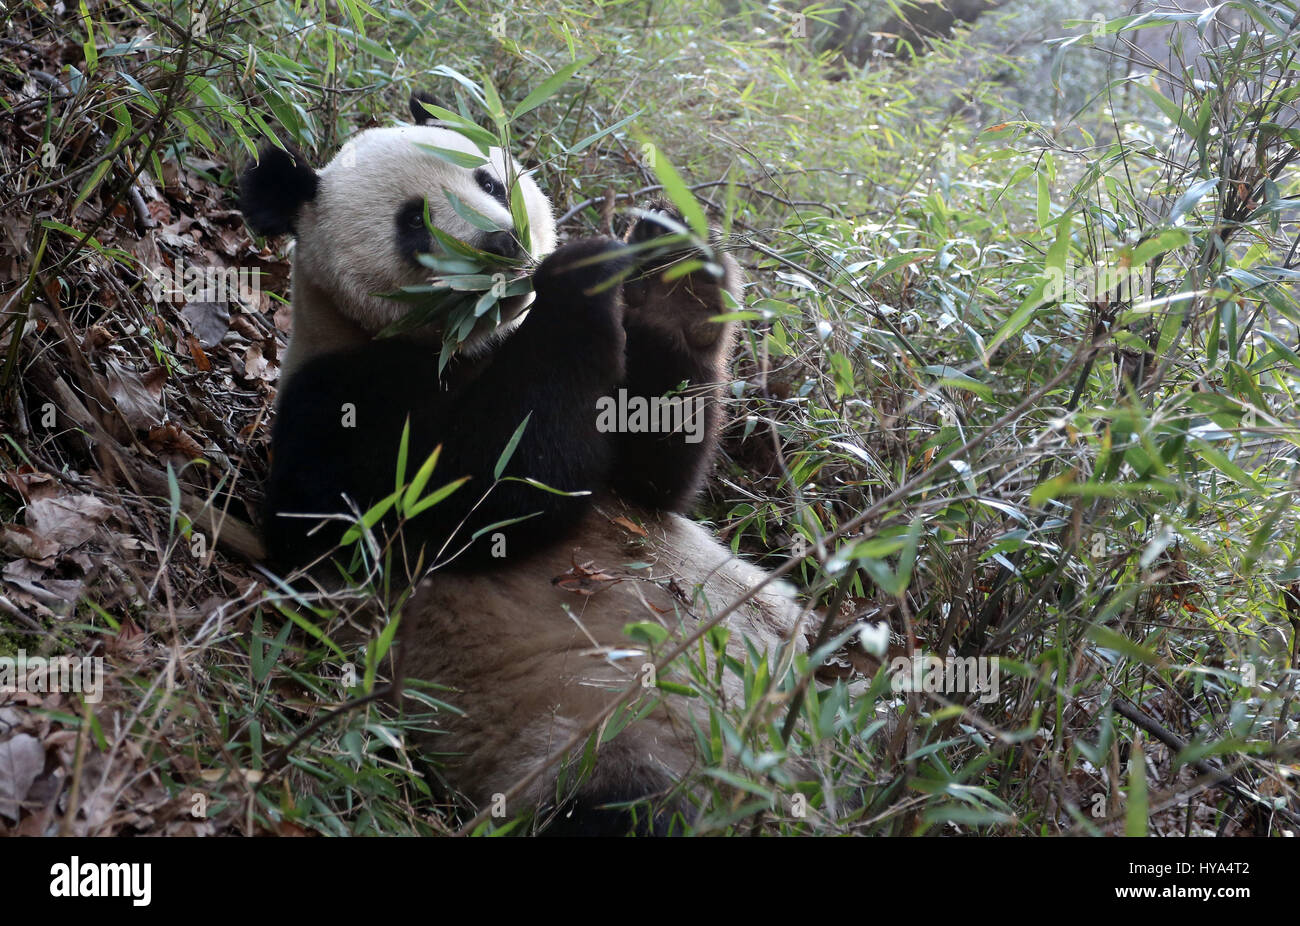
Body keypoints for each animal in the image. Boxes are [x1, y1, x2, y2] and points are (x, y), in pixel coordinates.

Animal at [235, 97, 800, 837]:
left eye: (489, 180)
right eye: (414, 222)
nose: (504, 244)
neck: (470, 340)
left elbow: (652, 476)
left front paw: (669, 268)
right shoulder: (338, 402)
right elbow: (474, 499)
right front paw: (577, 278)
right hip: (584, 730)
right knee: (626, 798)